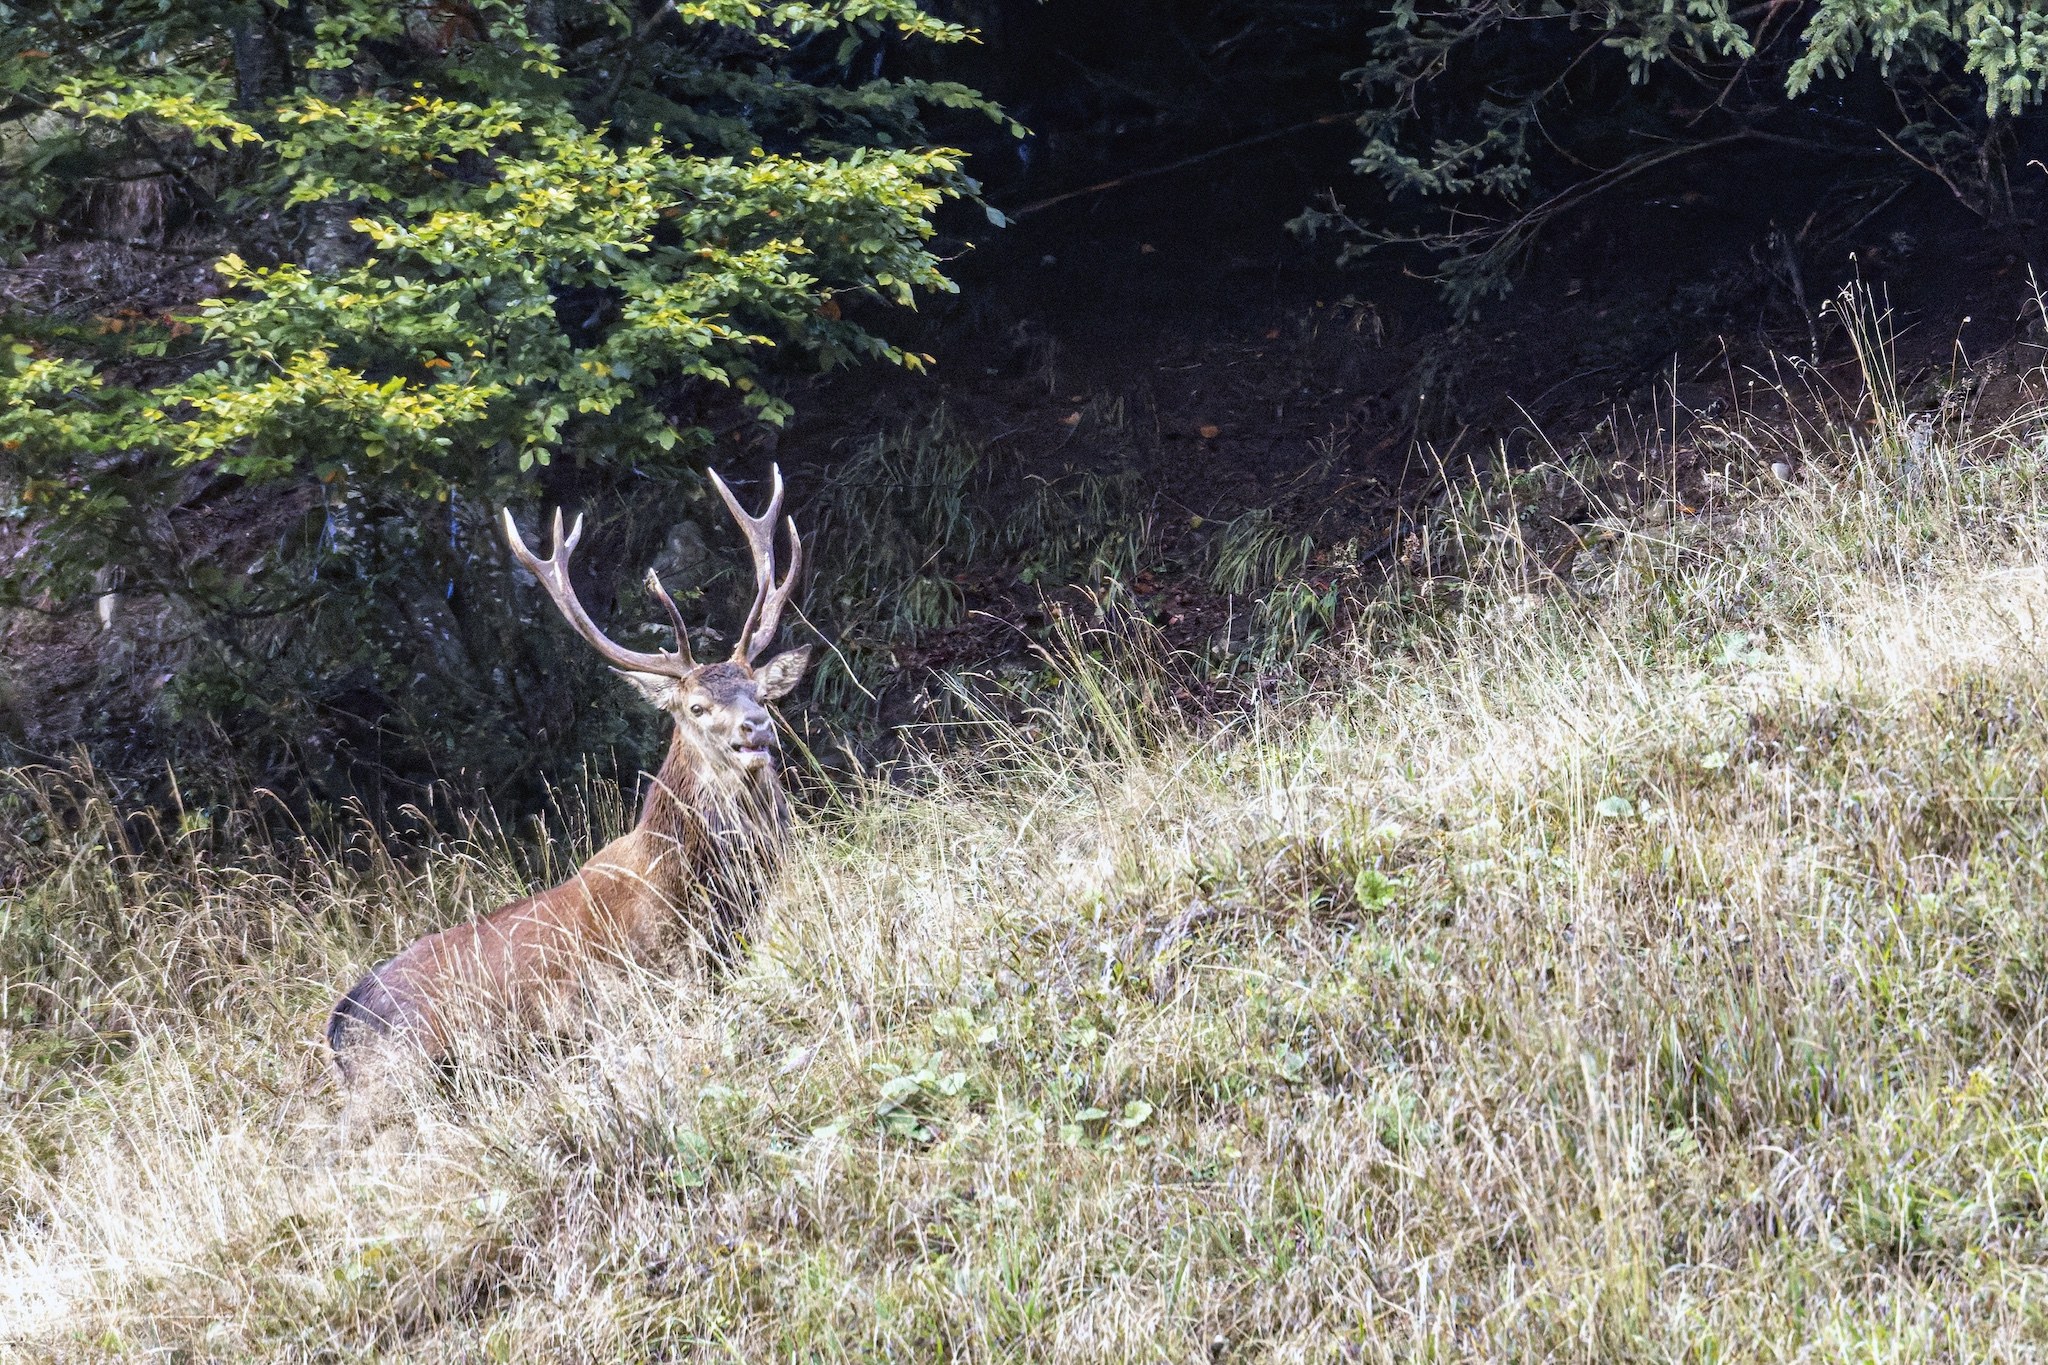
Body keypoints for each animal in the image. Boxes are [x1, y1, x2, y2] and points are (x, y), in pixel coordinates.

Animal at [325, 466, 813, 1083]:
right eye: (696, 707)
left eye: (758, 690)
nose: (756, 727)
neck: (708, 888)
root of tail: (339, 1024)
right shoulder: (646, 982)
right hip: (401, 1063)